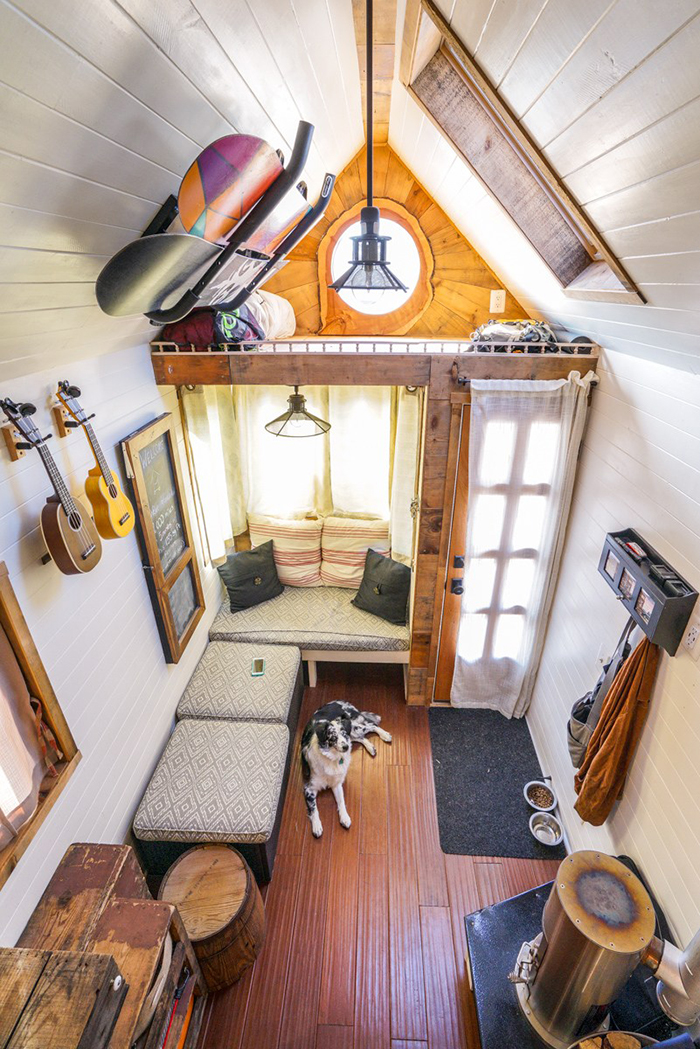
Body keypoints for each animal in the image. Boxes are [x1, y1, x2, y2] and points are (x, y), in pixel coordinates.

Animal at [300, 700, 392, 839]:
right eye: (332, 737)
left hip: (353, 728)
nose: (345, 747)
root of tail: (342, 702)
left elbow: (341, 801)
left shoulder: (337, 783)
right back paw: (371, 747)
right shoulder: (309, 788)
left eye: (342, 734)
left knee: (371, 726)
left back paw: (385, 735)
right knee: (361, 737)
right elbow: (314, 809)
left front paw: (345, 817)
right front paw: (317, 826)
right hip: (352, 733)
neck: (333, 758)